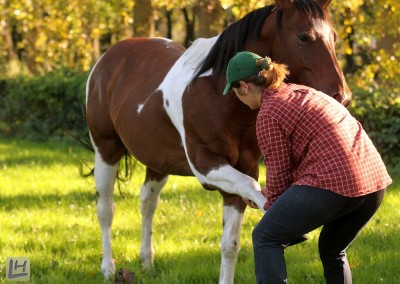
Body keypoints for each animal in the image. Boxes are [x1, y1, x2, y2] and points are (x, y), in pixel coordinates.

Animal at [86, 1, 352, 282]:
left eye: (334, 37)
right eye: (303, 37)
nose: (342, 96)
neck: (218, 97)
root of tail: (109, 57)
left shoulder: (243, 169)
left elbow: (230, 244)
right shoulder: (207, 167)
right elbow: (250, 187)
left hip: (157, 162)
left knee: (147, 202)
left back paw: (147, 261)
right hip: (106, 150)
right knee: (106, 209)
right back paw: (108, 267)